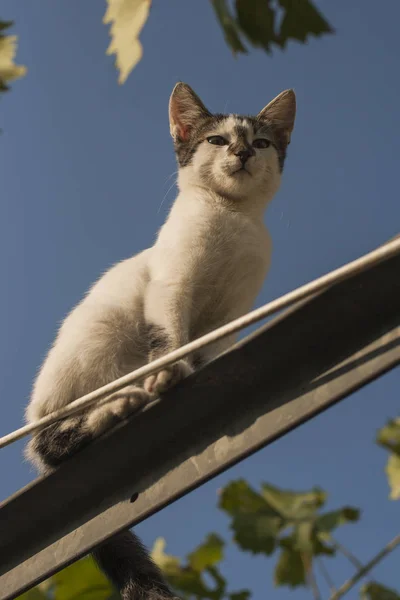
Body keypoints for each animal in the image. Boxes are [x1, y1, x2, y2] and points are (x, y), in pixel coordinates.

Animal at [24, 83, 294, 600]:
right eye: (215, 140)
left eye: (262, 143)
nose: (243, 152)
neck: (231, 219)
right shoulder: (170, 284)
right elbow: (169, 332)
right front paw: (168, 369)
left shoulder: (230, 314)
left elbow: (208, 349)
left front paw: (197, 370)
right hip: (95, 341)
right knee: (51, 443)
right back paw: (114, 407)